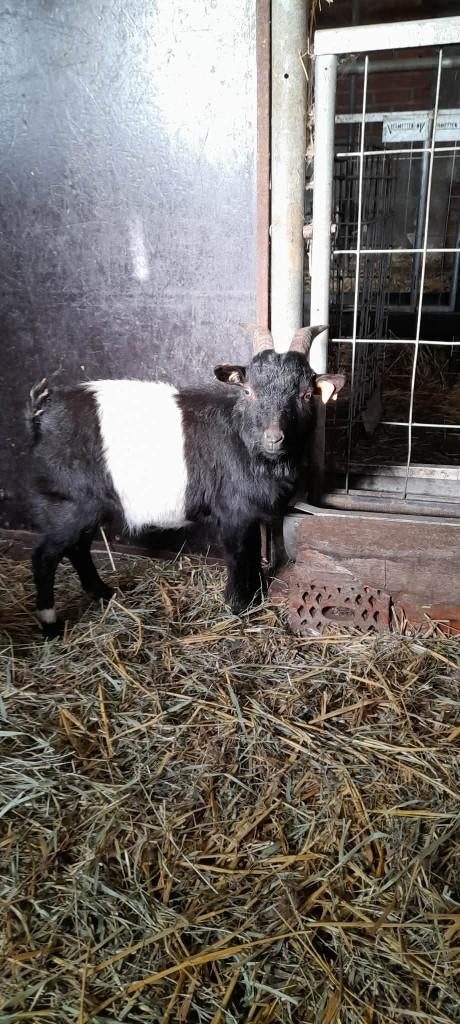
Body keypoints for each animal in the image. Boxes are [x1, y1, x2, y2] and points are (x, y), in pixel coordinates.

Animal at [27, 325, 345, 637]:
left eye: (306, 395)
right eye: (248, 390)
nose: (273, 437)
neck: (247, 444)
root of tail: (44, 409)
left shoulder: (251, 514)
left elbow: (254, 552)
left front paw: (255, 598)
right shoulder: (232, 512)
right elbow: (238, 555)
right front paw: (238, 605)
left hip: (87, 506)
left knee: (77, 548)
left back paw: (103, 593)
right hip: (67, 503)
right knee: (45, 556)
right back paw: (51, 625)